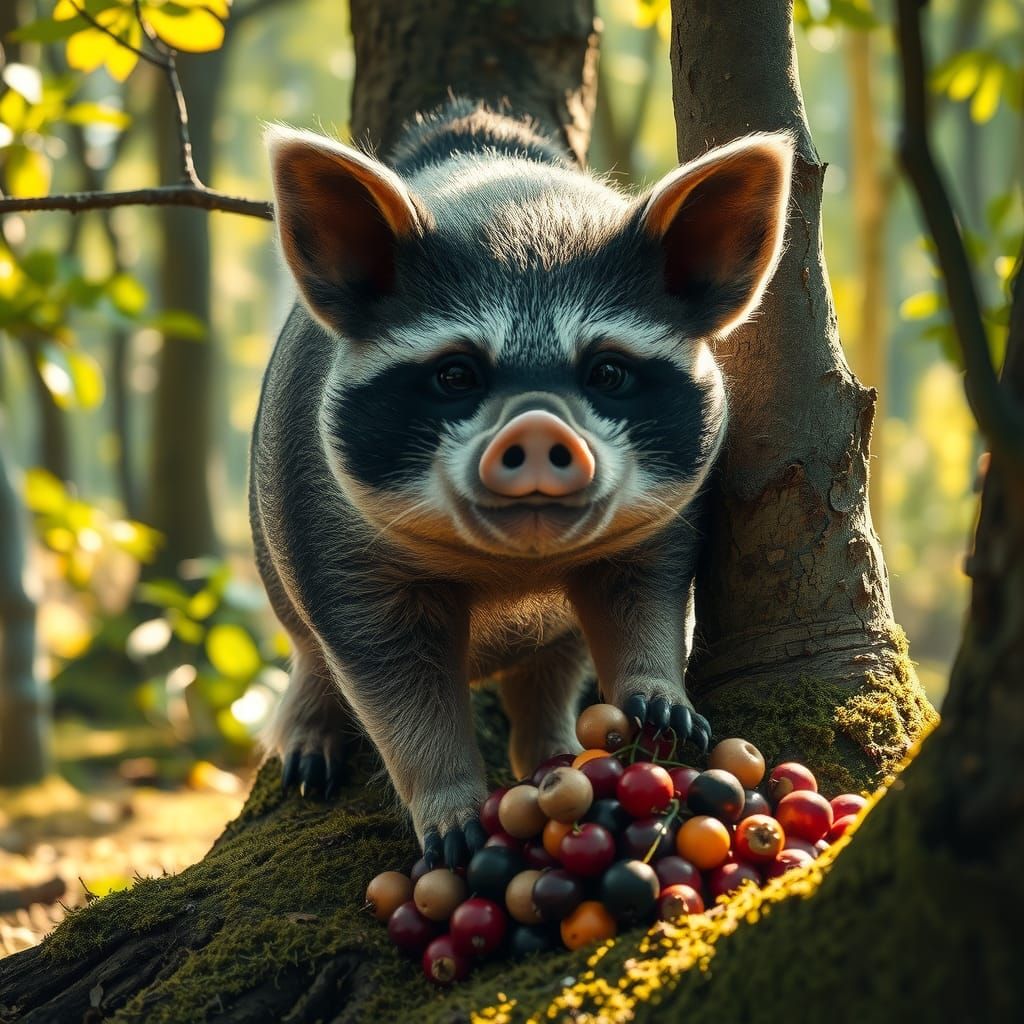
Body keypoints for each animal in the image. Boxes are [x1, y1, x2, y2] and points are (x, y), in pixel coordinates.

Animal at [252, 99, 793, 867]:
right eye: (456, 373)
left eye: (607, 371)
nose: (536, 426)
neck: (512, 572)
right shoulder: (336, 557)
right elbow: (393, 685)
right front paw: (453, 835)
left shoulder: (668, 527)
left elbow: (644, 606)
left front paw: (667, 717)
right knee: (307, 655)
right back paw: (307, 765)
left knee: (550, 674)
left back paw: (553, 755)